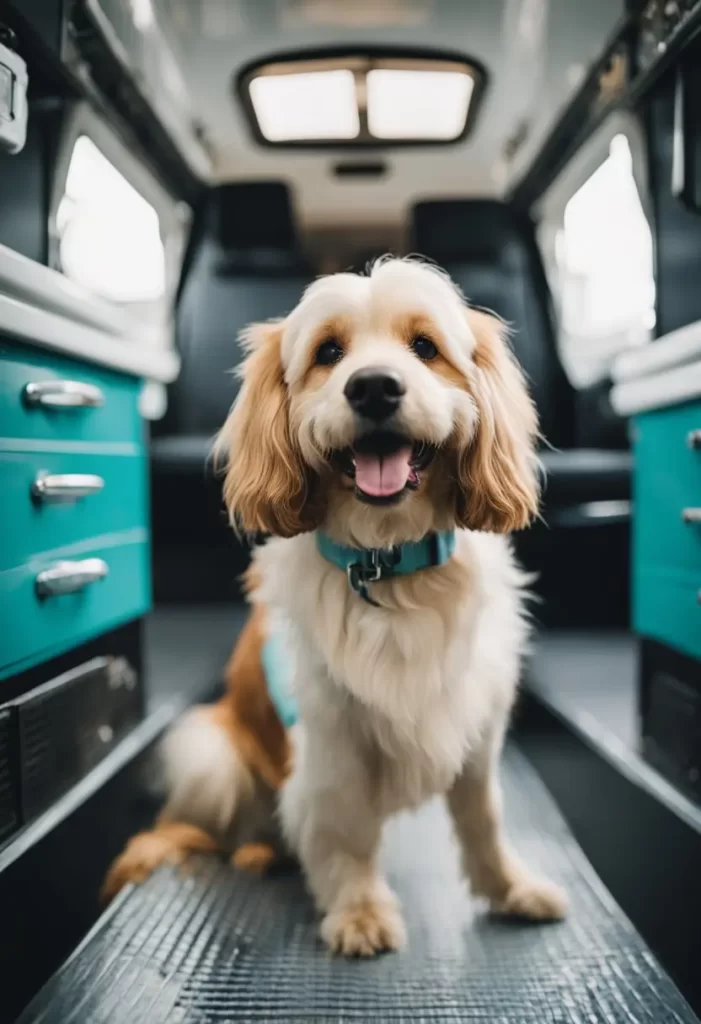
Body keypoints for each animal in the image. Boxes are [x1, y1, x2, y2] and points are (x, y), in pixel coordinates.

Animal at [102, 260, 564, 954]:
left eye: (425, 347)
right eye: (328, 353)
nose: (373, 388)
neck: (391, 569)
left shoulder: (477, 729)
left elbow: (484, 821)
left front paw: (511, 888)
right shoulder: (330, 744)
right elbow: (345, 836)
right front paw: (360, 912)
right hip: (212, 756)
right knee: (210, 831)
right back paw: (254, 851)